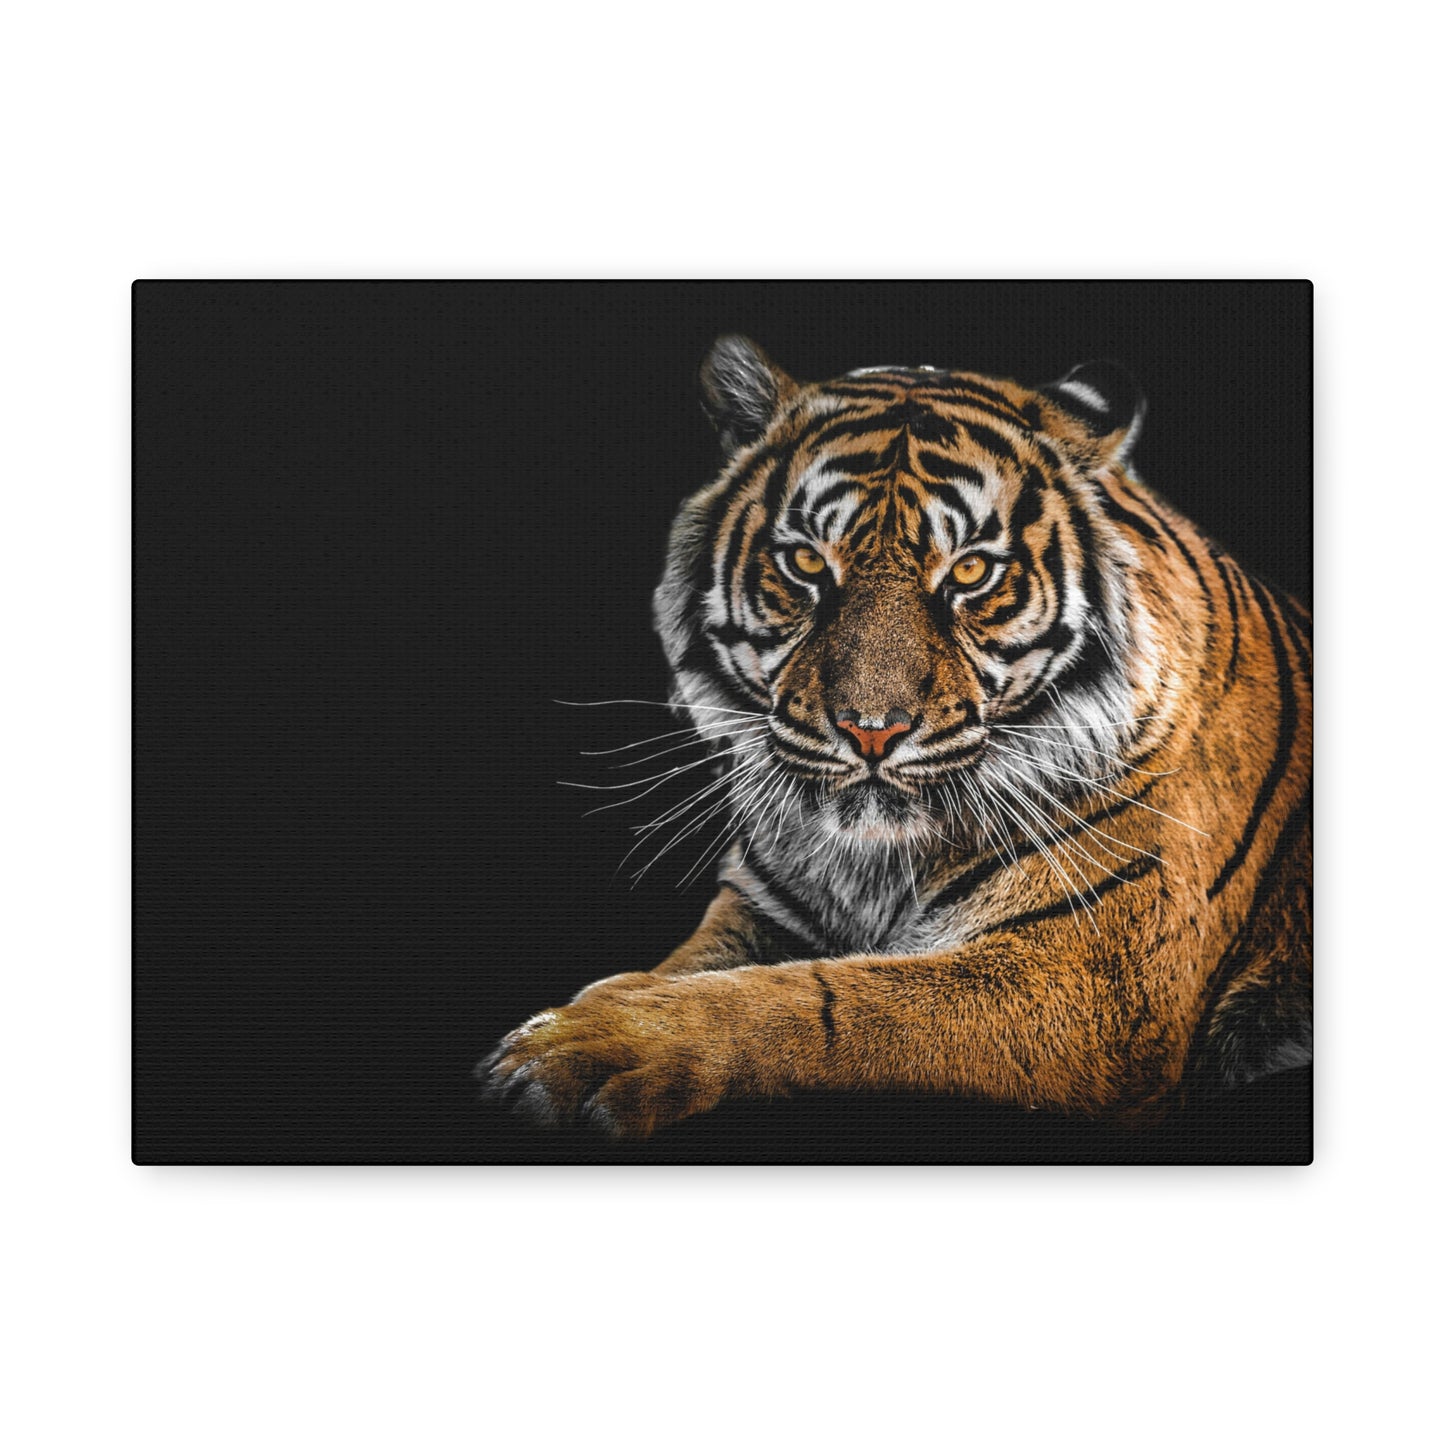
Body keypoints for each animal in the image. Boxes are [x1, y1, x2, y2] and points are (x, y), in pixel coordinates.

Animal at [479, 335, 1313, 1141]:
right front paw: (585, 1012)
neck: (873, 864)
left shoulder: (1090, 980)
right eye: (805, 561)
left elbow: (826, 998)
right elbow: (688, 966)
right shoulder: (760, 908)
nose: (869, 731)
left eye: (970, 572)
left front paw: (586, 1045)